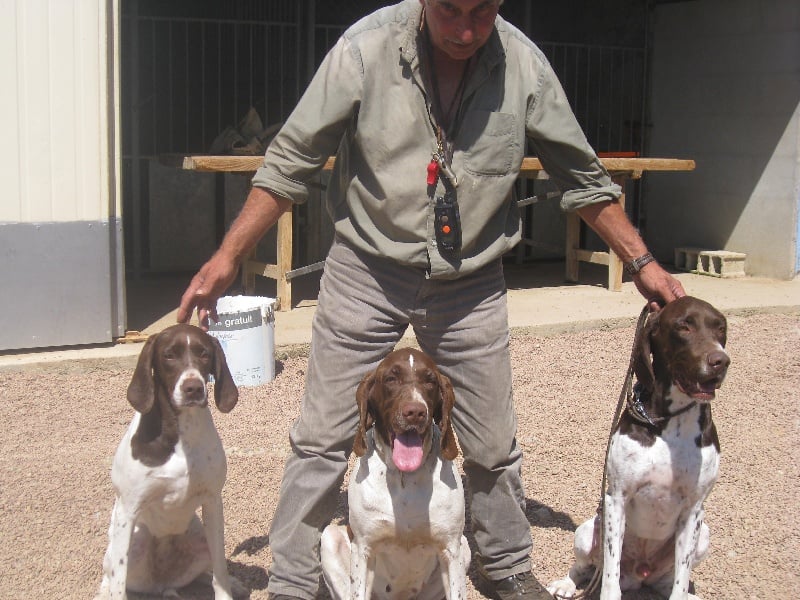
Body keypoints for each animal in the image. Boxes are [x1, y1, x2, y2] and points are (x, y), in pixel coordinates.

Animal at [95, 324, 244, 600]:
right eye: (169, 355)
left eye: (204, 354)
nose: (193, 387)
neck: (181, 433)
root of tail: (162, 583)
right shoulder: (127, 511)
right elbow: (119, 581)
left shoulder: (212, 502)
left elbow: (220, 571)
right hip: (133, 541)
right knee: (112, 575)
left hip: (199, 539)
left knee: (205, 572)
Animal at [322, 346, 472, 600]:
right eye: (391, 379)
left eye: (430, 381)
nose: (415, 412)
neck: (405, 478)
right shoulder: (363, 550)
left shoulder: (451, 548)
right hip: (330, 537)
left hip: (464, 547)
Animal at [552, 298, 732, 600]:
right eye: (684, 325)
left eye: (721, 328)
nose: (721, 361)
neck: (669, 424)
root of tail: (640, 575)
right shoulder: (616, 500)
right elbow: (609, 575)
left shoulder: (694, 509)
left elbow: (680, 581)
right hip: (588, 530)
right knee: (585, 567)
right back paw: (565, 584)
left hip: (703, 534)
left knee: (667, 581)